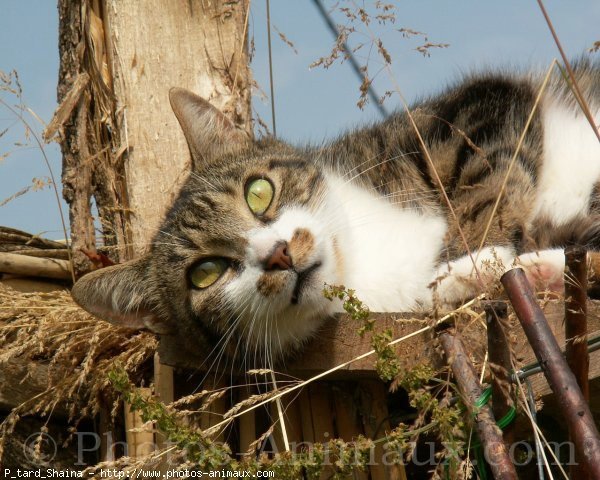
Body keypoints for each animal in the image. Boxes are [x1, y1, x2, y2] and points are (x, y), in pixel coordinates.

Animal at [72, 61, 600, 368]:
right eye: (205, 273)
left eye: (258, 193)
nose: (279, 254)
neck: (364, 260)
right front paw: (480, 275)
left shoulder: (474, 107)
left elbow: (486, 186)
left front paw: (473, 258)